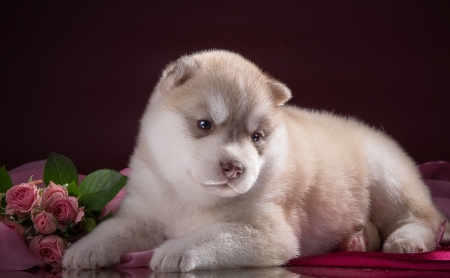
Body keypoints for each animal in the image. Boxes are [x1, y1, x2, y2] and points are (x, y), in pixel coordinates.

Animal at [61, 49, 448, 272]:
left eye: (257, 137)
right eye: (204, 124)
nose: (235, 167)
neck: (191, 197)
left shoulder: (268, 230)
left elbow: (213, 235)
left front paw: (176, 251)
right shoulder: (144, 212)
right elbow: (113, 230)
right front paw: (83, 250)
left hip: (387, 177)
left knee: (426, 218)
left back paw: (407, 240)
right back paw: (358, 240)